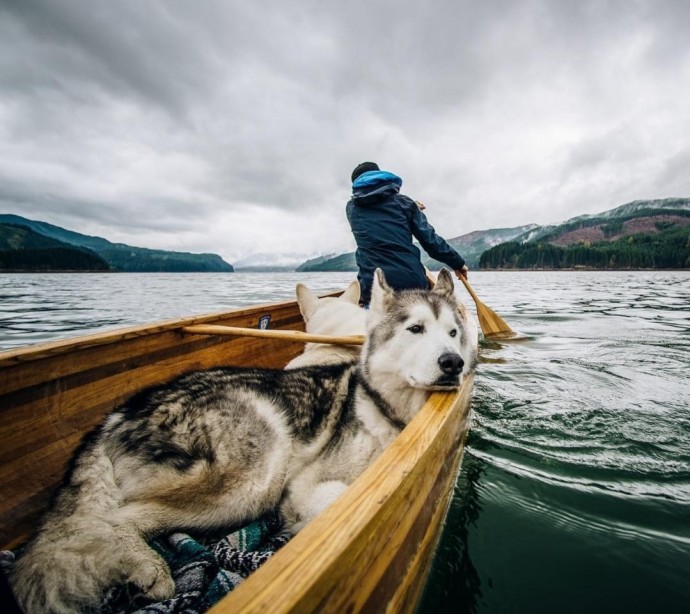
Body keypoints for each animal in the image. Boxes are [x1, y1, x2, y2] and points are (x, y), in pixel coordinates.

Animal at [10, 270, 476, 614]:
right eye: (415, 329)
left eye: (454, 332)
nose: (453, 363)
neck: (389, 410)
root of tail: (117, 414)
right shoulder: (300, 485)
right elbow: (330, 498)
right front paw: (302, 523)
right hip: (254, 477)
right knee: (116, 519)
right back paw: (150, 568)